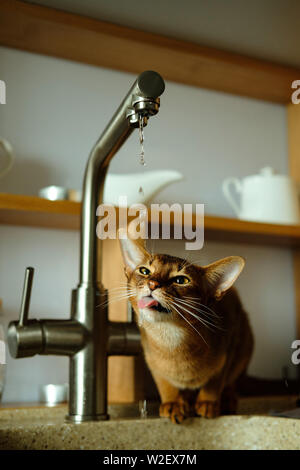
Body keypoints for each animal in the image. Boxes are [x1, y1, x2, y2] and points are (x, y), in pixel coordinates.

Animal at [118, 233, 253, 424]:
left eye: (181, 280)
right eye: (144, 271)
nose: (152, 284)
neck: (170, 340)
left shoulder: (229, 345)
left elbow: (216, 380)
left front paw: (208, 403)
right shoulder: (151, 359)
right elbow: (164, 382)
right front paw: (173, 402)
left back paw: (227, 399)